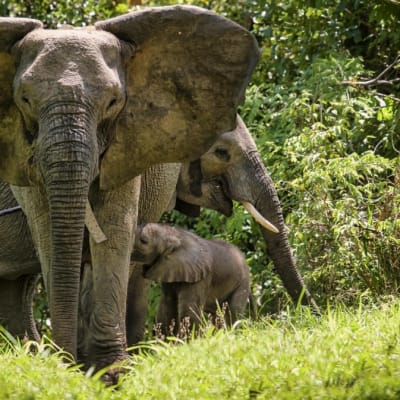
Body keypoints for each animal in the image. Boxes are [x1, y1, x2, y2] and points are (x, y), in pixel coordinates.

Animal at [0, 5, 258, 372]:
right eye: (23, 99)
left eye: (113, 101)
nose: (67, 361)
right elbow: (48, 230)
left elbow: (115, 230)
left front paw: (111, 371)